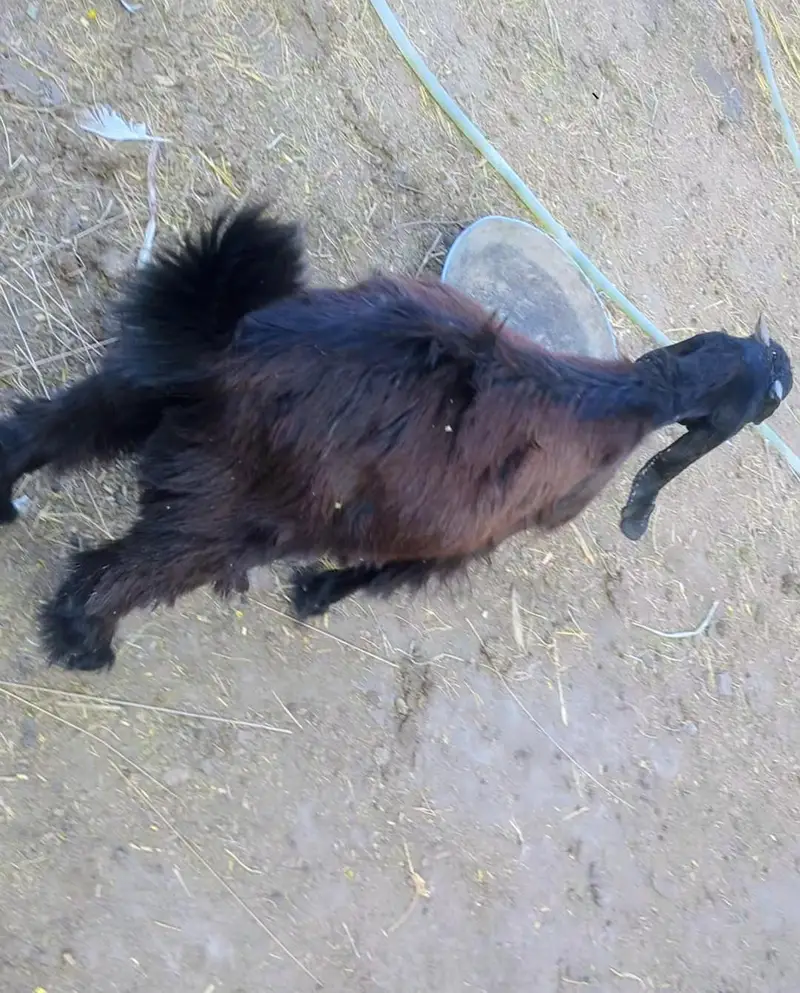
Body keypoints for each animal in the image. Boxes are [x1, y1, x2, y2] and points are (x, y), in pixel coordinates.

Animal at [0, 205, 792, 672]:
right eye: (769, 398)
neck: (624, 401)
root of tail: (235, 344)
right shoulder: (470, 537)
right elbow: (388, 572)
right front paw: (317, 594)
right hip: (230, 510)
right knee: (120, 570)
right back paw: (83, 643)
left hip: (135, 390)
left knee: (41, 429)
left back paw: (10, 505)